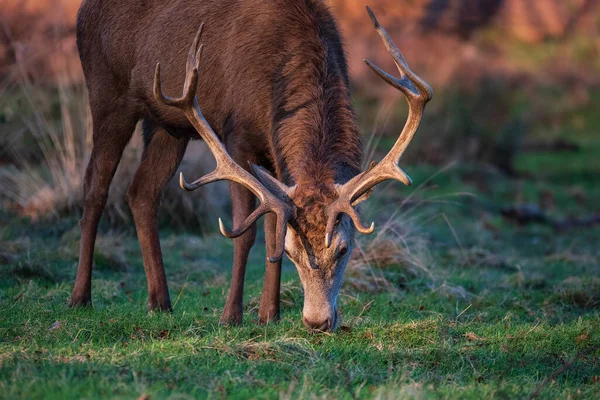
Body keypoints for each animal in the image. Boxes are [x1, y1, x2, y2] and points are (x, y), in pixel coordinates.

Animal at [71, 0, 432, 332]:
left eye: (344, 249)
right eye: (294, 254)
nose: (317, 321)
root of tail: (83, 12)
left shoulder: (275, 162)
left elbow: (273, 229)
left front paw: (269, 315)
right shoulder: (237, 139)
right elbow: (245, 232)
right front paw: (231, 316)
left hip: (167, 125)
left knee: (142, 192)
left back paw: (160, 303)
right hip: (108, 95)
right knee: (95, 187)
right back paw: (80, 297)